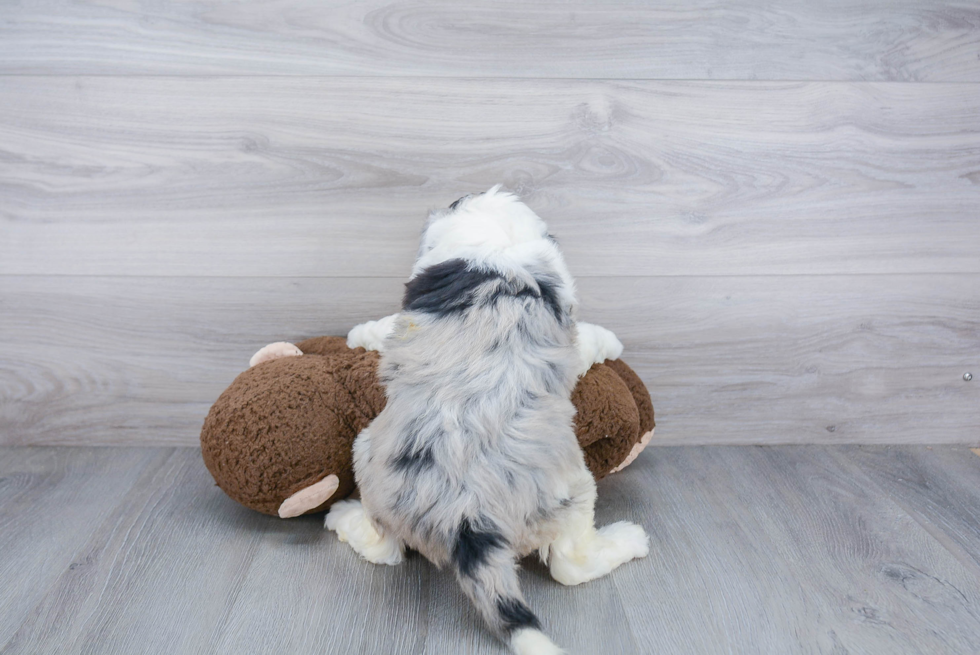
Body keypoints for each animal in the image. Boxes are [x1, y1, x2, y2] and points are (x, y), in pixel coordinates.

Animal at [328, 187, 652, 652]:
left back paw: (342, 518)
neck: (496, 254)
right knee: (570, 565)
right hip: (573, 488)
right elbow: (586, 338)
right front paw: (609, 340)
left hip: (371, 459)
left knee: (385, 548)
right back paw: (629, 539)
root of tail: (467, 518)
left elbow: (388, 323)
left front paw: (359, 333)